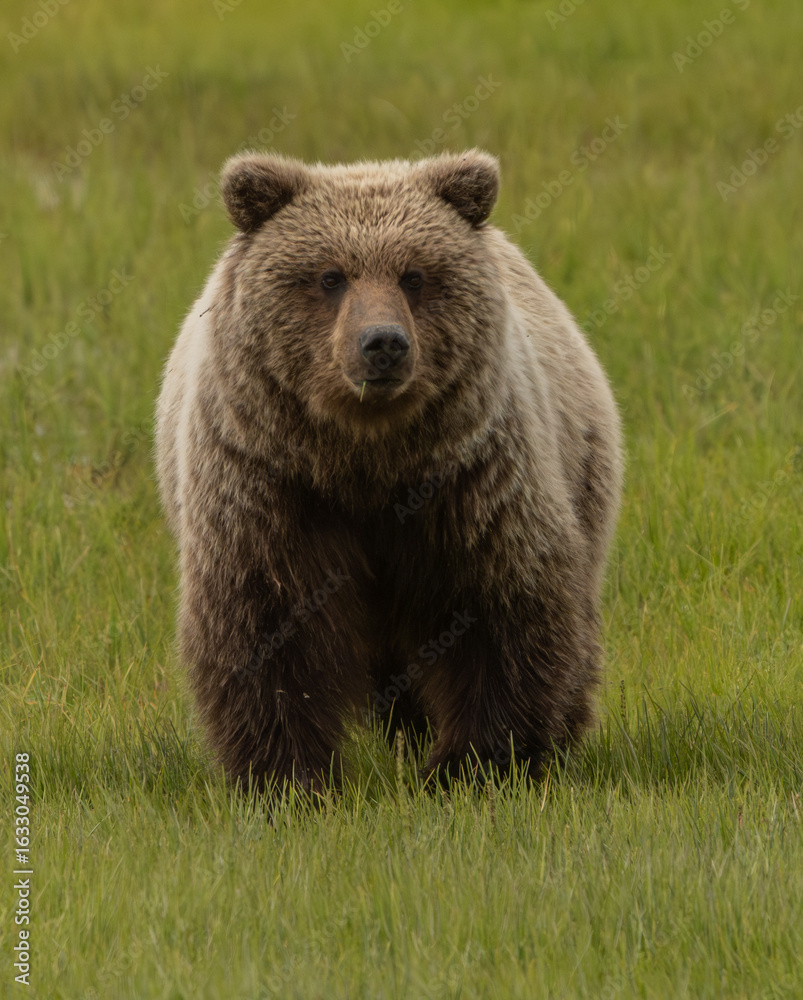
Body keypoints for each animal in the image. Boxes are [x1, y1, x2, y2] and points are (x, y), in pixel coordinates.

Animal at [155, 148, 623, 793]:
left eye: (413, 275)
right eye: (331, 276)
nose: (383, 343)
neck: (368, 459)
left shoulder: (471, 483)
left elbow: (501, 609)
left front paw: (472, 765)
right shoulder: (270, 484)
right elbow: (268, 626)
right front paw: (289, 777)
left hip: (579, 469)